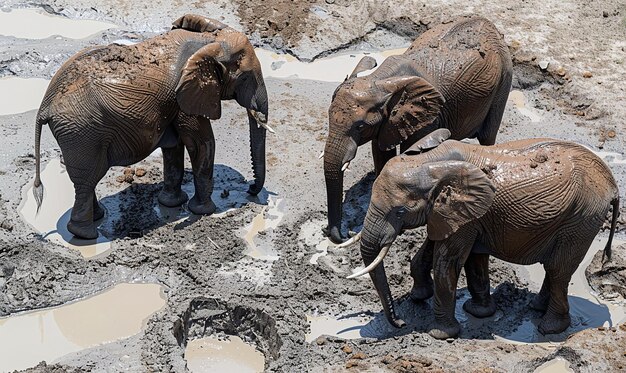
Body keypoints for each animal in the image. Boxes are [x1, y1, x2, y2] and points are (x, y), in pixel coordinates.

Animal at [32, 14, 270, 238]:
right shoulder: (185, 98)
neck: (210, 41)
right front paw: (204, 211)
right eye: (246, 78)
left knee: (86, 181)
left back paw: (98, 218)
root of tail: (44, 107)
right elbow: (201, 143)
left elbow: (174, 146)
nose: (251, 189)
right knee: (88, 178)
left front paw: (172, 203)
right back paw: (86, 234)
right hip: (83, 133)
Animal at [322, 16, 512, 243]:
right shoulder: (388, 121)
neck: (380, 78)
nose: (344, 234)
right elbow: (381, 151)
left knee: (488, 135)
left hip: (504, 79)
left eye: (359, 126)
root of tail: (490, 24)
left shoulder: (429, 114)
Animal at [344, 129, 616, 338]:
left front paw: (441, 333)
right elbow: (462, 254)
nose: (400, 323)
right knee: (555, 266)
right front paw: (470, 310)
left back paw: (549, 328)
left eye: (399, 212)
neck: (431, 161)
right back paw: (537, 308)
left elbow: (446, 261)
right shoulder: (455, 214)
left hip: (582, 216)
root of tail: (612, 184)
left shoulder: (464, 212)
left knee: (559, 268)